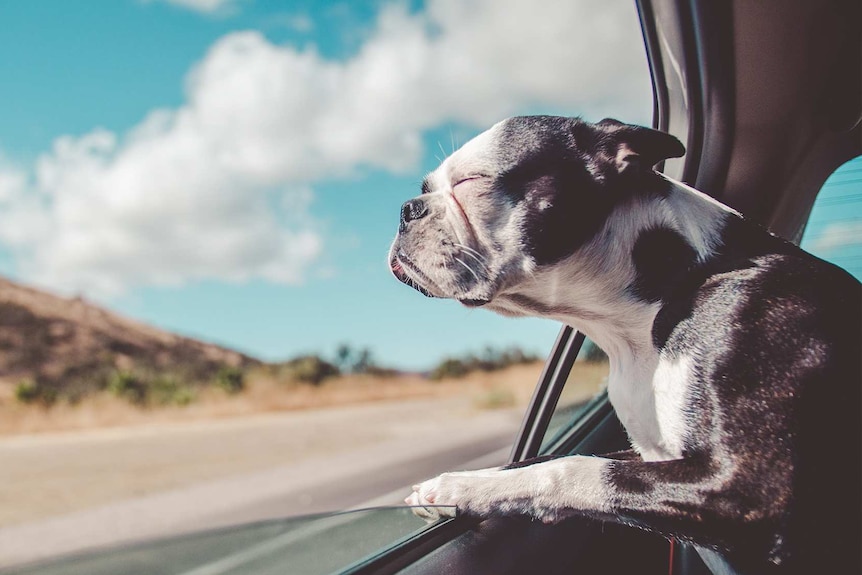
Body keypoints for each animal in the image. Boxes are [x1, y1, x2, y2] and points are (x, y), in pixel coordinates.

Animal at [390, 115, 862, 572]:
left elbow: (573, 468)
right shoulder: (651, 456)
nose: (406, 208)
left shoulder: (746, 488)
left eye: (472, 181)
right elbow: (540, 460)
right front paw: (461, 484)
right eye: (425, 190)